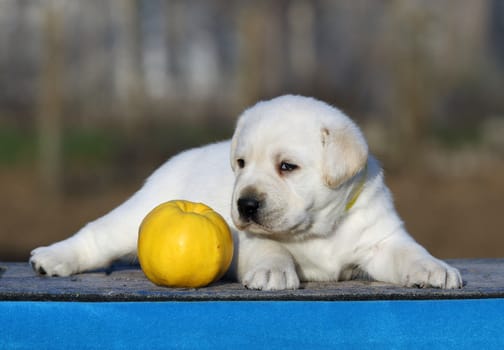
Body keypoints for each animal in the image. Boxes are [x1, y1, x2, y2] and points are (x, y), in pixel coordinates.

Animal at [29, 95, 462, 290]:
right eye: (240, 163)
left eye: (287, 167)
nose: (246, 203)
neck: (317, 230)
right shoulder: (250, 238)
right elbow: (271, 247)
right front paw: (273, 270)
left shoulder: (381, 240)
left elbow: (409, 252)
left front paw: (434, 268)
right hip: (136, 215)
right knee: (96, 236)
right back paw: (51, 257)